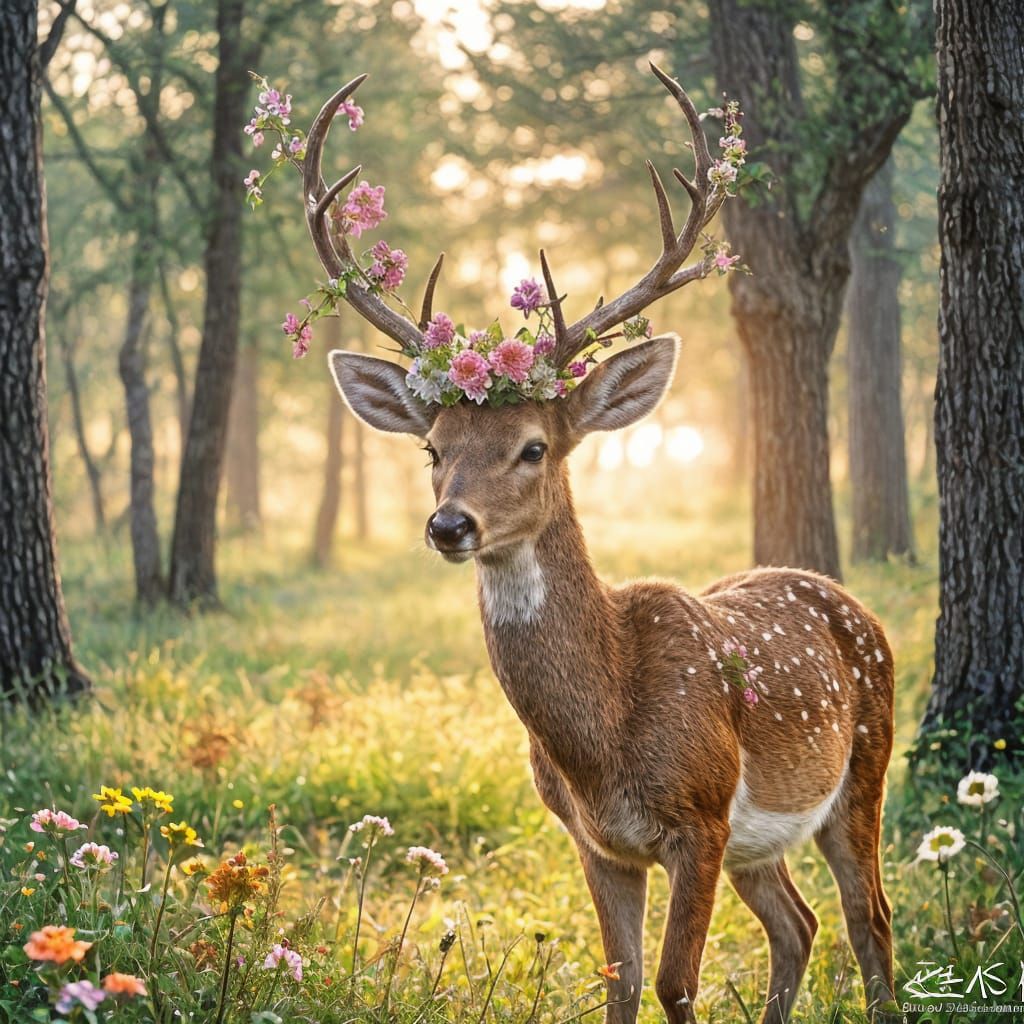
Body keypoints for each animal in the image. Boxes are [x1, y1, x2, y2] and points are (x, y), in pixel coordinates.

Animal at [294, 64, 897, 1024]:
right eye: (433, 450)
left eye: (534, 447)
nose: (449, 524)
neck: (604, 734)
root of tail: (856, 608)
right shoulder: (596, 841)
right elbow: (620, 983)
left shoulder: (700, 816)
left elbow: (675, 984)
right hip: (763, 840)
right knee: (798, 924)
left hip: (862, 768)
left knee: (868, 917)